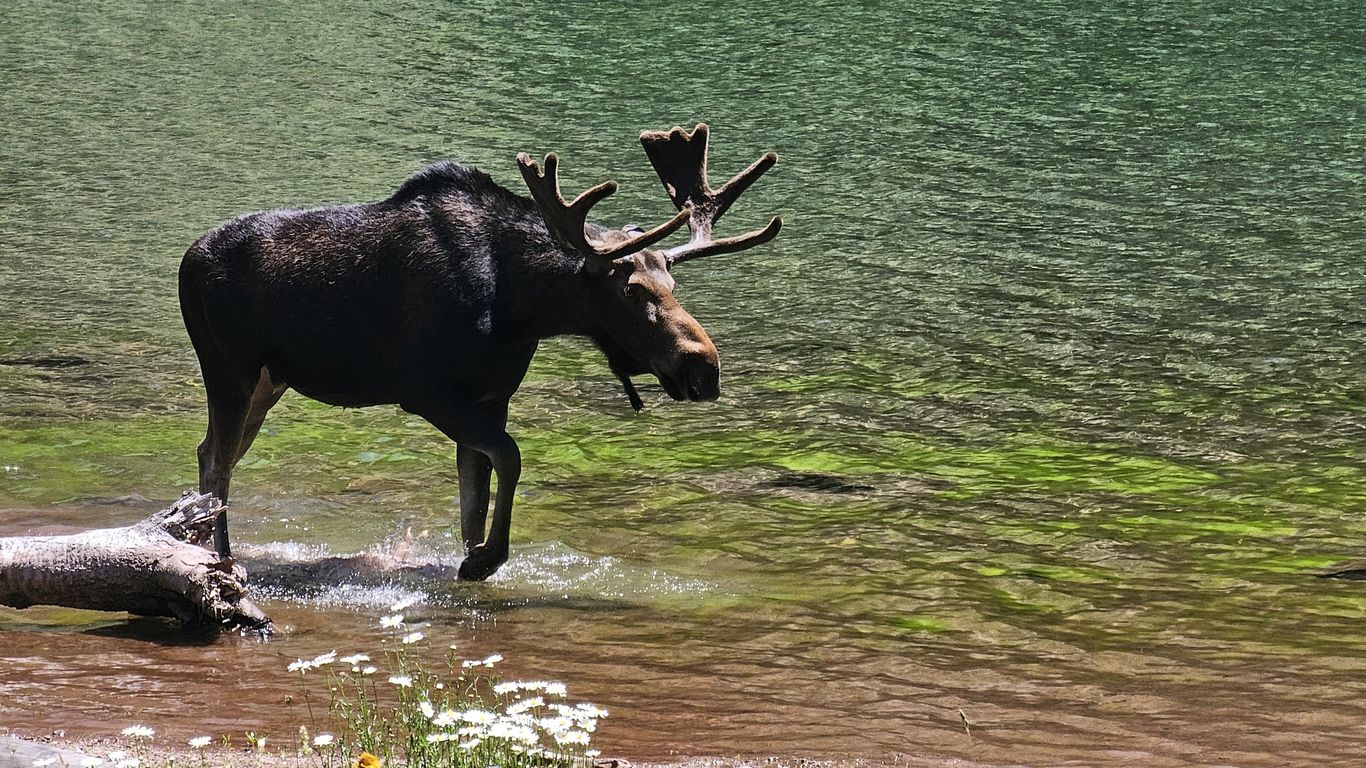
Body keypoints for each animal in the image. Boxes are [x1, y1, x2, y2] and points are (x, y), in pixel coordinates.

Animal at [178, 124, 781, 581]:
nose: (703, 367)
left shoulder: (493, 395)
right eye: (631, 290)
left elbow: (477, 489)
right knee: (219, 460)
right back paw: (221, 559)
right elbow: (509, 458)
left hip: (269, 381)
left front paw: (474, 557)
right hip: (229, 369)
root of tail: (186, 263)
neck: (520, 306)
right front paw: (487, 558)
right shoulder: (424, 391)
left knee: (212, 452)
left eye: (673, 284)